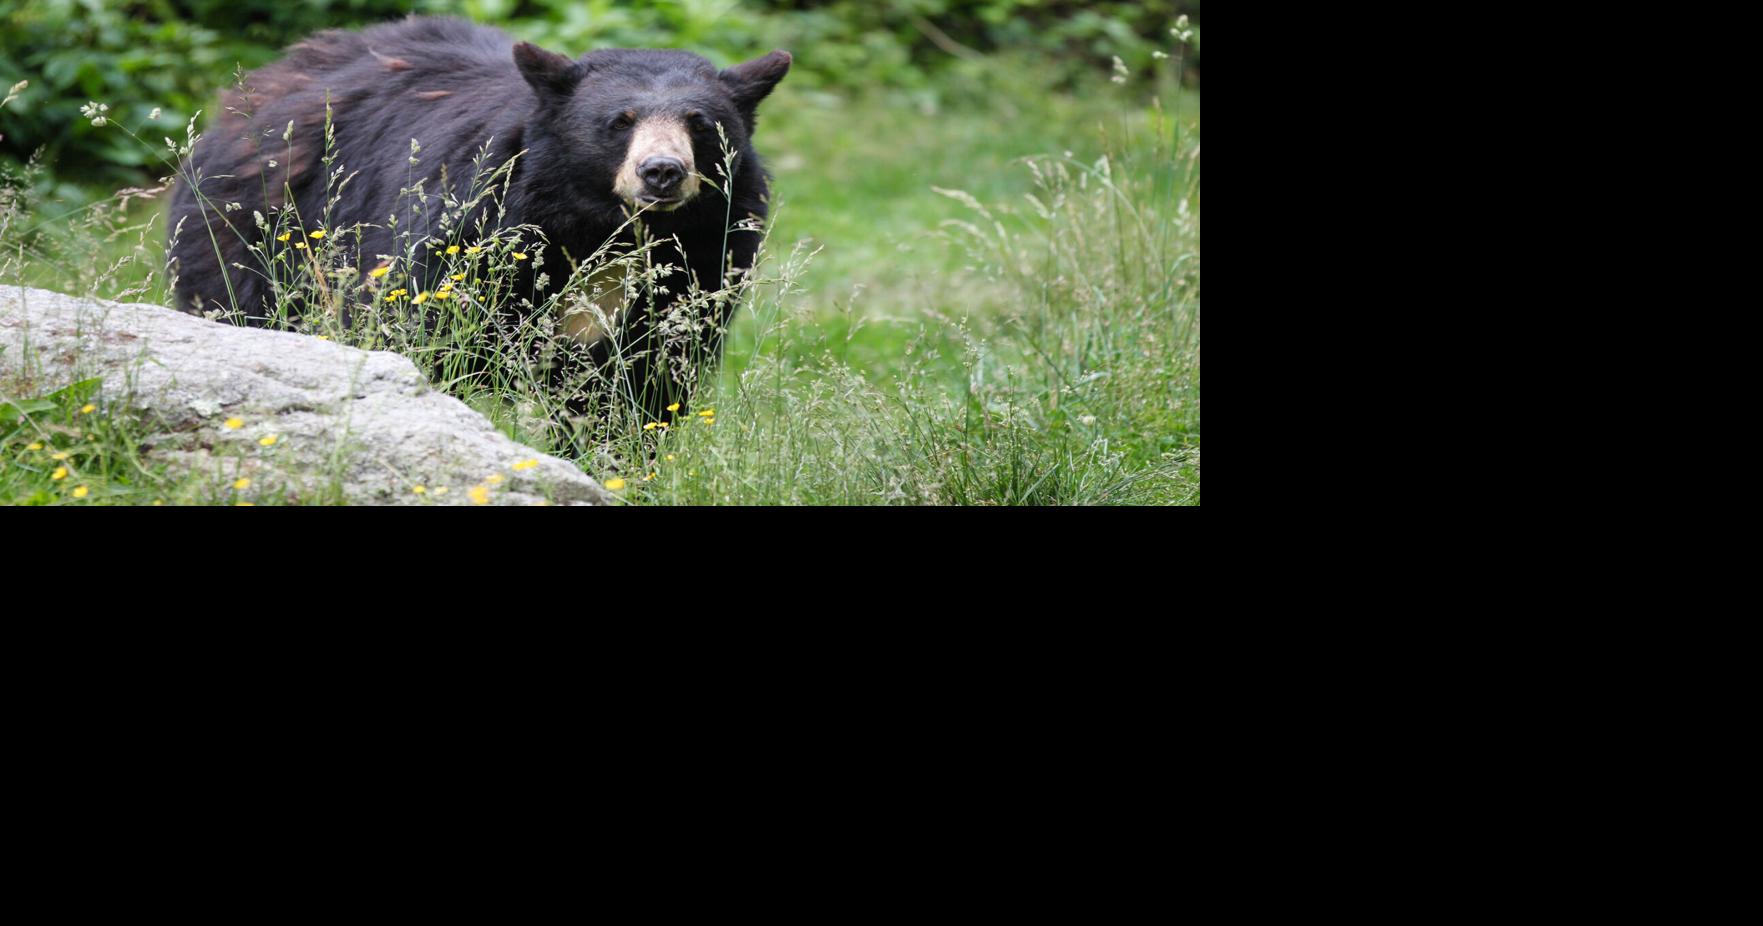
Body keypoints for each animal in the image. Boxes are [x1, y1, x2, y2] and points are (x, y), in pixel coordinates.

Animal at [165, 15, 790, 423]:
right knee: (240, 303)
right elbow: (427, 338)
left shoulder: (704, 262)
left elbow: (646, 384)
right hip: (257, 232)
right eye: (620, 121)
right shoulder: (471, 237)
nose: (661, 172)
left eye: (700, 123)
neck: (603, 232)